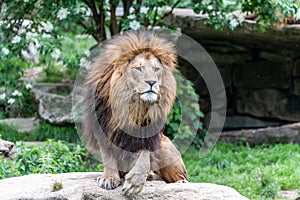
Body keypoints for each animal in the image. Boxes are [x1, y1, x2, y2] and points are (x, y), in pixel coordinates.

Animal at [82, 30, 188, 195]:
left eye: (156, 69)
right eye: (138, 68)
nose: (152, 82)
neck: (134, 105)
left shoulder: (148, 134)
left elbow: (143, 157)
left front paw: (135, 182)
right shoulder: (104, 127)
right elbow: (108, 157)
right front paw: (108, 178)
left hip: (166, 147)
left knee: (178, 178)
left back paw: (175, 181)